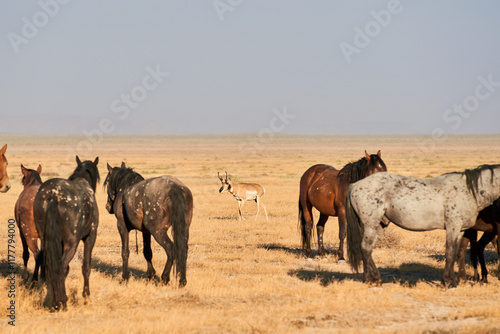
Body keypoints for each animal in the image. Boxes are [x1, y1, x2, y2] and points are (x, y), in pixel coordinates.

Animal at [33, 157, 99, 310]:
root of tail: (54, 193)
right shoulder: (90, 237)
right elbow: (86, 267)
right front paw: (86, 296)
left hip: (45, 240)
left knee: (49, 266)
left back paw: (50, 300)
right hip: (71, 244)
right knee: (61, 267)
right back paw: (61, 301)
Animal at [346, 164, 500, 288]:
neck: (468, 191)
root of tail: (355, 185)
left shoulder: (461, 230)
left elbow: (455, 252)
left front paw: (452, 280)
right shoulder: (453, 227)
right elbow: (449, 252)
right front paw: (447, 282)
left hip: (380, 225)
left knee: (369, 249)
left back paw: (376, 278)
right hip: (370, 224)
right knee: (365, 248)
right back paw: (369, 280)